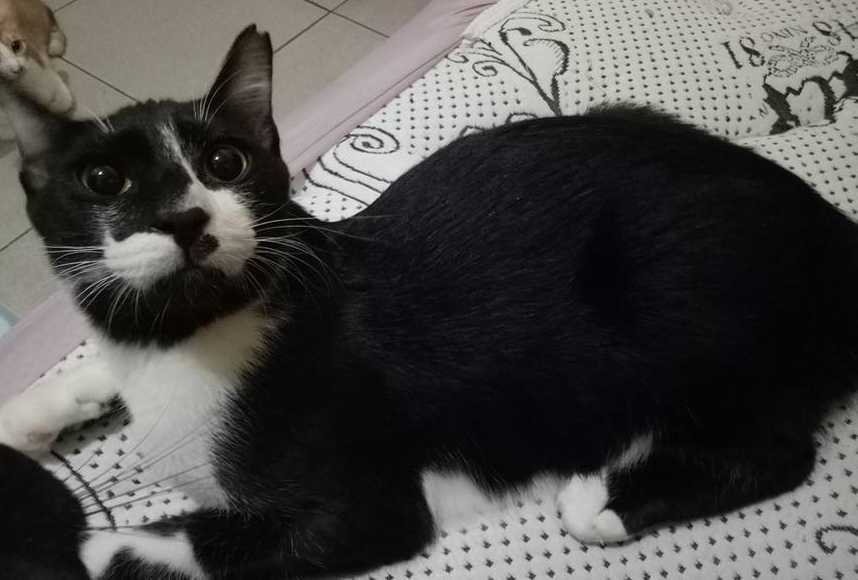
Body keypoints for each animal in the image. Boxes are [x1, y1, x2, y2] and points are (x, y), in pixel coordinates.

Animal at [1, 24, 857, 580]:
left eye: (224, 163)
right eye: (103, 181)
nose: (186, 218)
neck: (188, 335)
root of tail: (835, 230)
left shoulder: (361, 503)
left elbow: (141, 545)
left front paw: (61, 539)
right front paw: (33, 411)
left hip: (678, 286)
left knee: (778, 445)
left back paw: (607, 495)